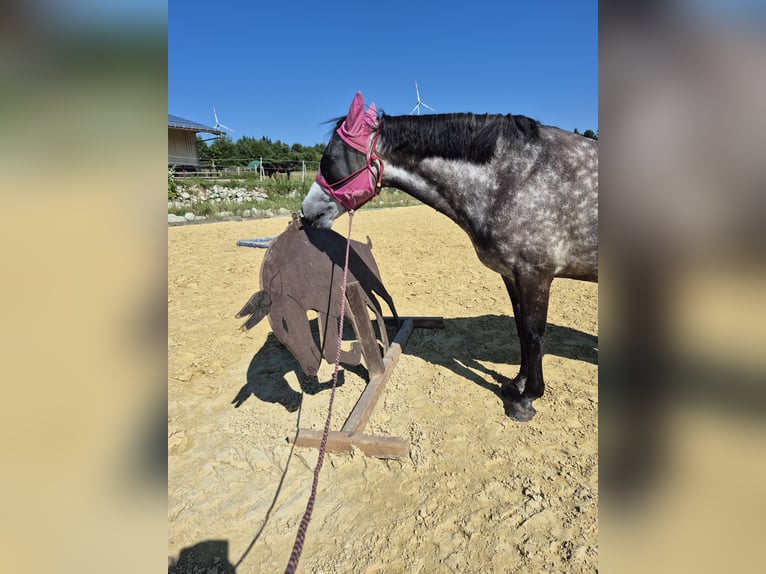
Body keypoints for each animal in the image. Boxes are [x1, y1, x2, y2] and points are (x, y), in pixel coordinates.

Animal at [301, 92, 597, 421]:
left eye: (331, 159)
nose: (306, 212)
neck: (515, 177)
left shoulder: (535, 275)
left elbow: (534, 335)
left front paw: (527, 398)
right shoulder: (511, 275)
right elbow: (521, 329)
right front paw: (516, 384)